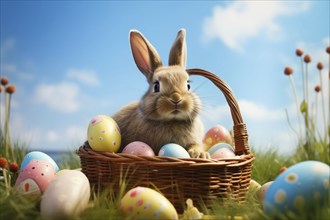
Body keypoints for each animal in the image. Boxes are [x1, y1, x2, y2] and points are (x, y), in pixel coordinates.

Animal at [111, 29, 209, 159]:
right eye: (156, 86)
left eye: (188, 85)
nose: (176, 98)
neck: (172, 121)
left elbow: (195, 145)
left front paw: (200, 154)